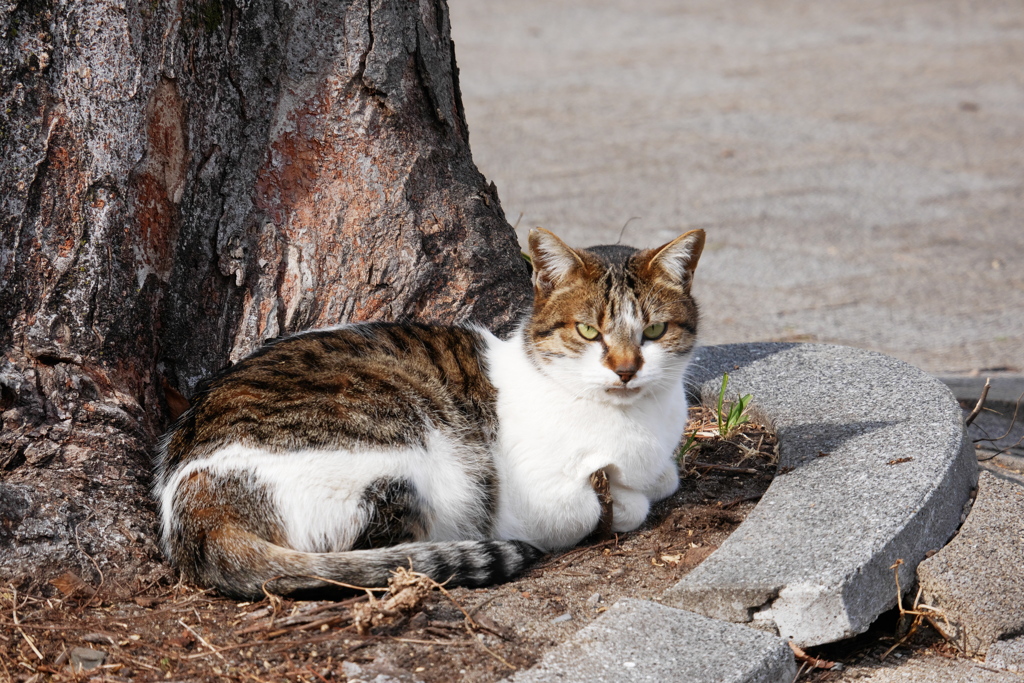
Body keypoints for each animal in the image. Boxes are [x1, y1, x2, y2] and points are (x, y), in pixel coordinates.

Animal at [151, 227, 704, 593]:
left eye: (654, 331)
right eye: (589, 331)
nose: (626, 369)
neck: (637, 423)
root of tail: (193, 500)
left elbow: (664, 478)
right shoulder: (543, 504)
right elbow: (613, 504)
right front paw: (624, 498)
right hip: (411, 468)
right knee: (379, 556)